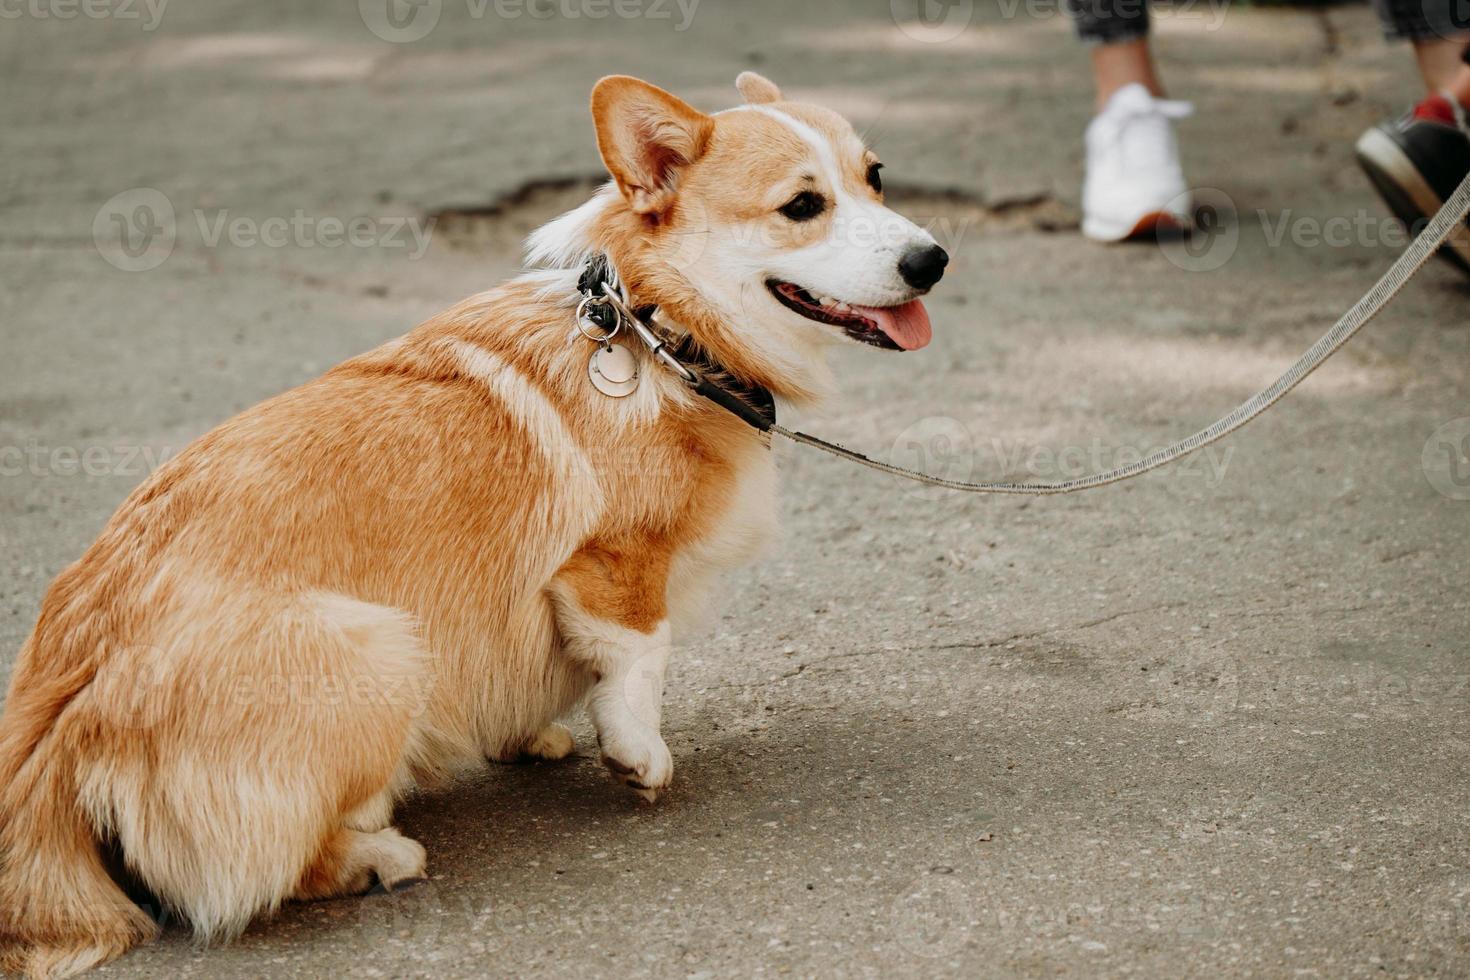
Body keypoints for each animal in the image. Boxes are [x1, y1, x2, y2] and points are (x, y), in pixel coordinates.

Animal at [0, 72, 946, 975]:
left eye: (875, 176)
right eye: (802, 206)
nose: (933, 260)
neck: (660, 329)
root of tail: (62, 719)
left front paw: (535, 732)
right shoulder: (614, 566)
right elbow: (640, 660)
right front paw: (639, 757)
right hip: (382, 650)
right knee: (262, 874)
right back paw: (376, 855)